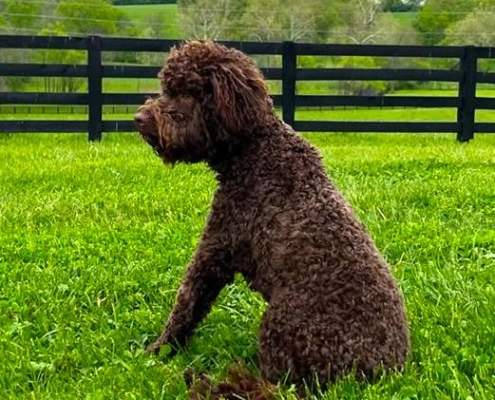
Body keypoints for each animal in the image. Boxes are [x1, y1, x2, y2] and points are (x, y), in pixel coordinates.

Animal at [134, 40, 408, 396]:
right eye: (167, 87)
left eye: (187, 92)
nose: (138, 118)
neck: (257, 151)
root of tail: (375, 374)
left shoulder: (216, 247)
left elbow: (186, 305)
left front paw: (158, 351)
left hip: (279, 324)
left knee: (274, 384)